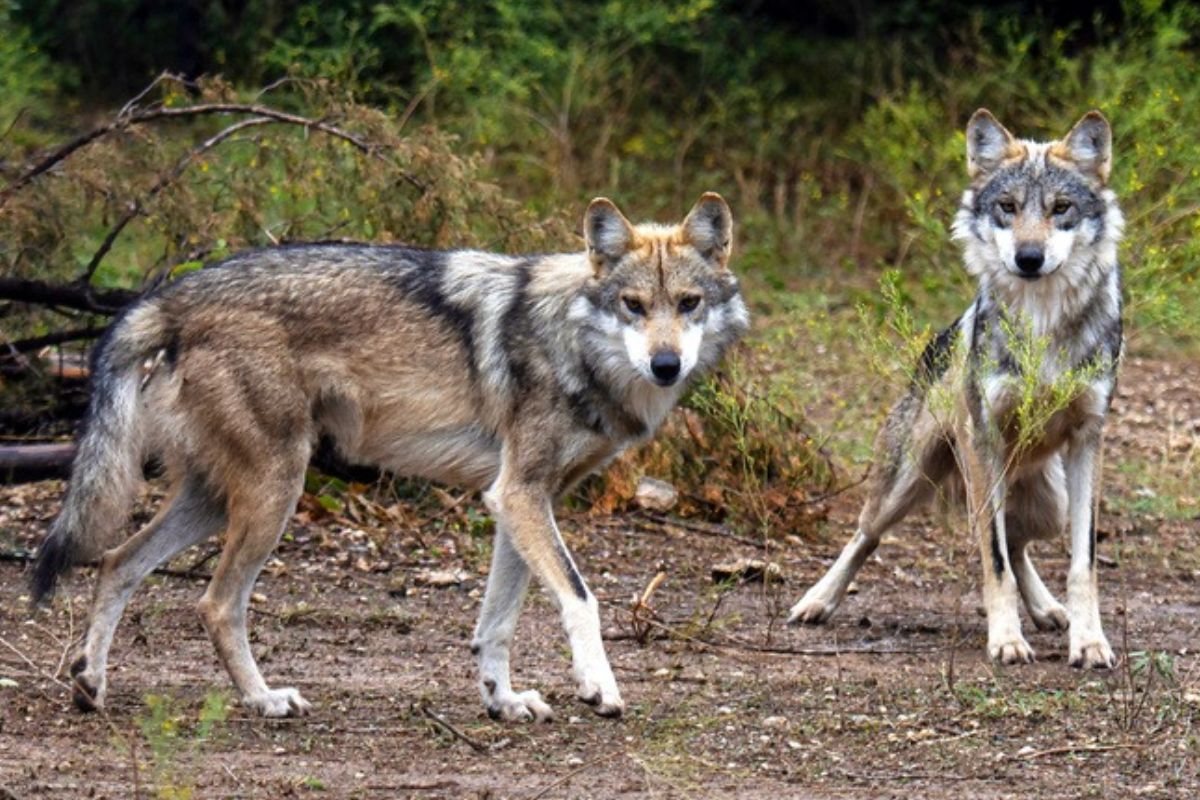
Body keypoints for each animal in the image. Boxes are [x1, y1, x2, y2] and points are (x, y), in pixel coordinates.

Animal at [32, 191, 744, 719]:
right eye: (633, 306)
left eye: (688, 304)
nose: (665, 365)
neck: (570, 340)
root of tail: (169, 296)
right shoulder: (519, 494)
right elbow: (580, 598)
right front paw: (600, 689)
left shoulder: (521, 498)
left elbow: (497, 623)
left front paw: (504, 702)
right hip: (275, 491)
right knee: (214, 602)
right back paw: (263, 700)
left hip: (217, 498)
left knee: (116, 562)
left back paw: (90, 684)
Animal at [787, 107, 1123, 671]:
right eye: (1008, 207)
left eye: (1061, 208)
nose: (1028, 258)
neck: (1041, 321)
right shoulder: (982, 439)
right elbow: (994, 559)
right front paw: (1006, 640)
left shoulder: (1087, 440)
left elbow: (1083, 565)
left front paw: (1090, 641)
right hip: (911, 482)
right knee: (867, 533)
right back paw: (817, 601)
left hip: (1048, 501)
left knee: (1018, 540)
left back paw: (1048, 610)